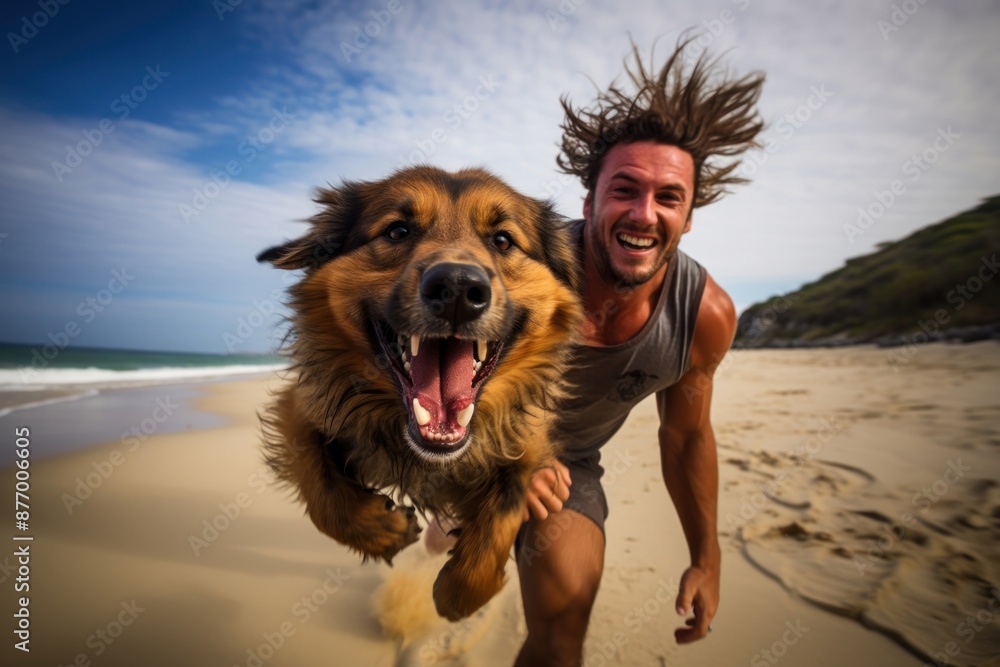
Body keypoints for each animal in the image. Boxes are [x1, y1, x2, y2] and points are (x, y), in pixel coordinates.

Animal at [258, 167, 584, 620]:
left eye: (502, 240)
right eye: (398, 231)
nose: (458, 289)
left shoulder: (529, 444)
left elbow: (505, 509)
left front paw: (459, 593)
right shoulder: (303, 404)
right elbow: (319, 485)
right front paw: (383, 530)